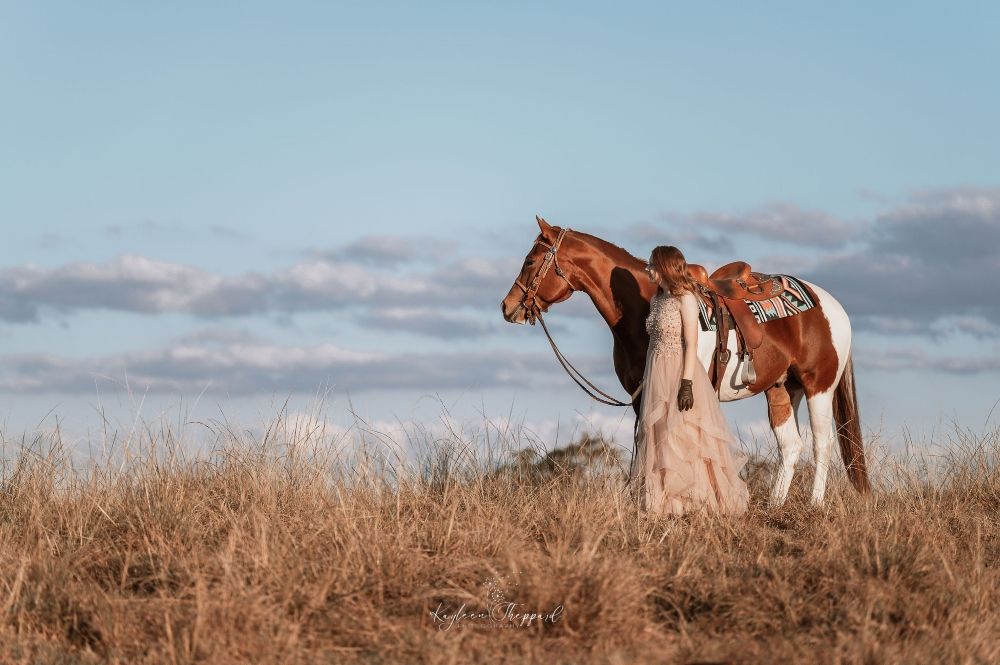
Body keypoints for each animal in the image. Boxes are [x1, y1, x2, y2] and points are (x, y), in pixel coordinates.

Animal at [500, 216, 870, 506]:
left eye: (530, 261)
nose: (508, 306)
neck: (642, 304)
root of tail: (832, 306)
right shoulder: (640, 395)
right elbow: (645, 442)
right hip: (780, 389)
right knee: (791, 447)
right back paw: (774, 506)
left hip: (818, 387)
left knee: (822, 443)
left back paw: (815, 504)